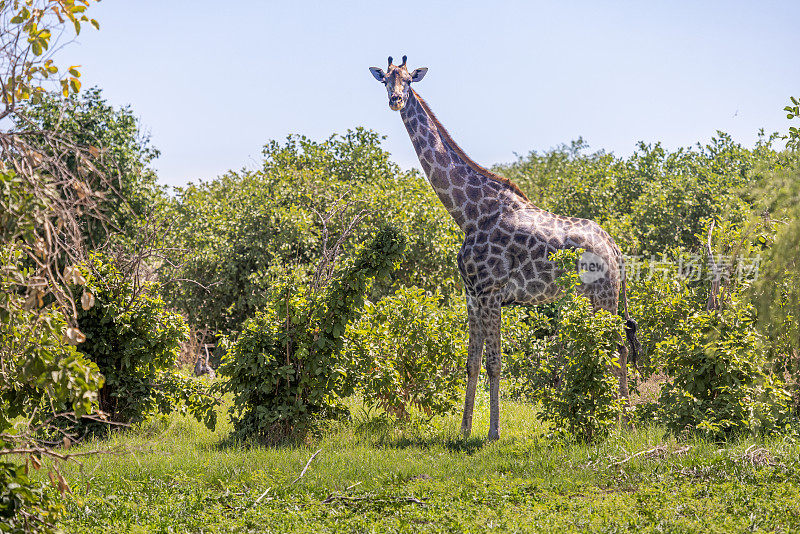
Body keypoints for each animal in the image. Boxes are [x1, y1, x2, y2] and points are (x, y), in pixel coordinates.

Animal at [372, 57, 640, 444]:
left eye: (408, 80)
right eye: (385, 80)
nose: (395, 100)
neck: (469, 213)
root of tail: (615, 247)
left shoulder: (492, 292)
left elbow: (494, 363)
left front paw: (493, 434)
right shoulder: (471, 294)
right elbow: (471, 361)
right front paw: (464, 430)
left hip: (603, 295)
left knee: (617, 347)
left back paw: (621, 425)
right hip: (593, 297)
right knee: (617, 345)